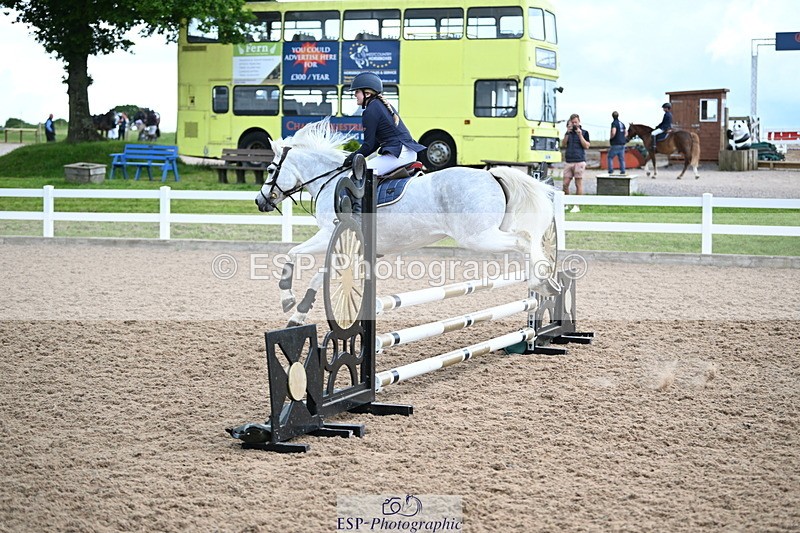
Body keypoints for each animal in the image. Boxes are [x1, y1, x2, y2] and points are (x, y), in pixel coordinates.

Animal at [254, 118, 558, 327]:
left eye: (269, 169)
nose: (260, 201)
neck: (332, 181)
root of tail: (492, 174)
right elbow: (316, 270)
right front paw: (297, 309)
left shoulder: (330, 234)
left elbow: (295, 254)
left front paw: (290, 302)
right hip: (492, 231)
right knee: (529, 240)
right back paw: (546, 282)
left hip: (478, 237)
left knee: (524, 240)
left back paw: (541, 281)